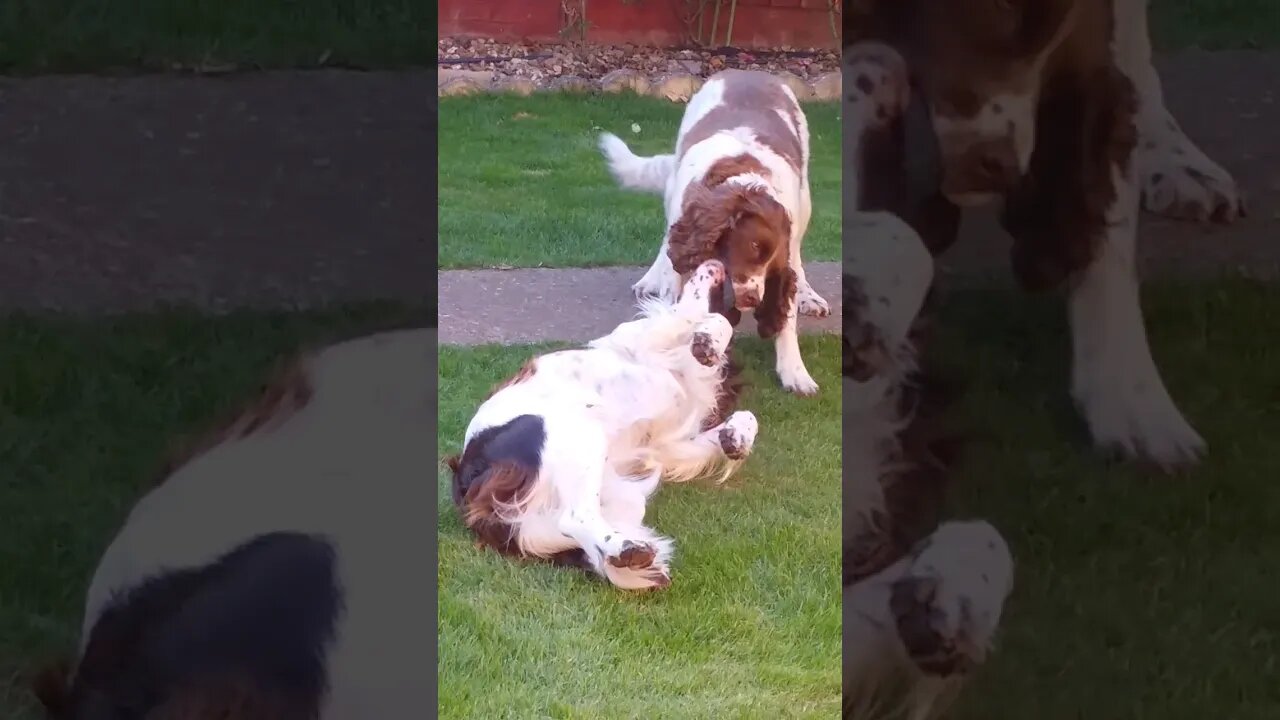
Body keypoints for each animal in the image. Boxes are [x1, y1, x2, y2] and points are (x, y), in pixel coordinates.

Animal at [448, 257, 752, 589]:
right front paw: (707, 344)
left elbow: (744, 417)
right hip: (580, 437)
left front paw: (735, 436)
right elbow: (706, 319)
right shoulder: (650, 334)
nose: (717, 263)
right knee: (575, 517)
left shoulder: (667, 446)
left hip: (607, 488)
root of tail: (464, 476)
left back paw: (629, 555)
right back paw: (629, 550)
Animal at [599, 70, 829, 394]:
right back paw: (651, 279)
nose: (752, 299)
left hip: (805, 195)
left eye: (771, 267)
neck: (742, 175)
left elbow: (787, 306)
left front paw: (794, 372)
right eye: (753, 246)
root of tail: (748, 72)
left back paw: (810, 296)